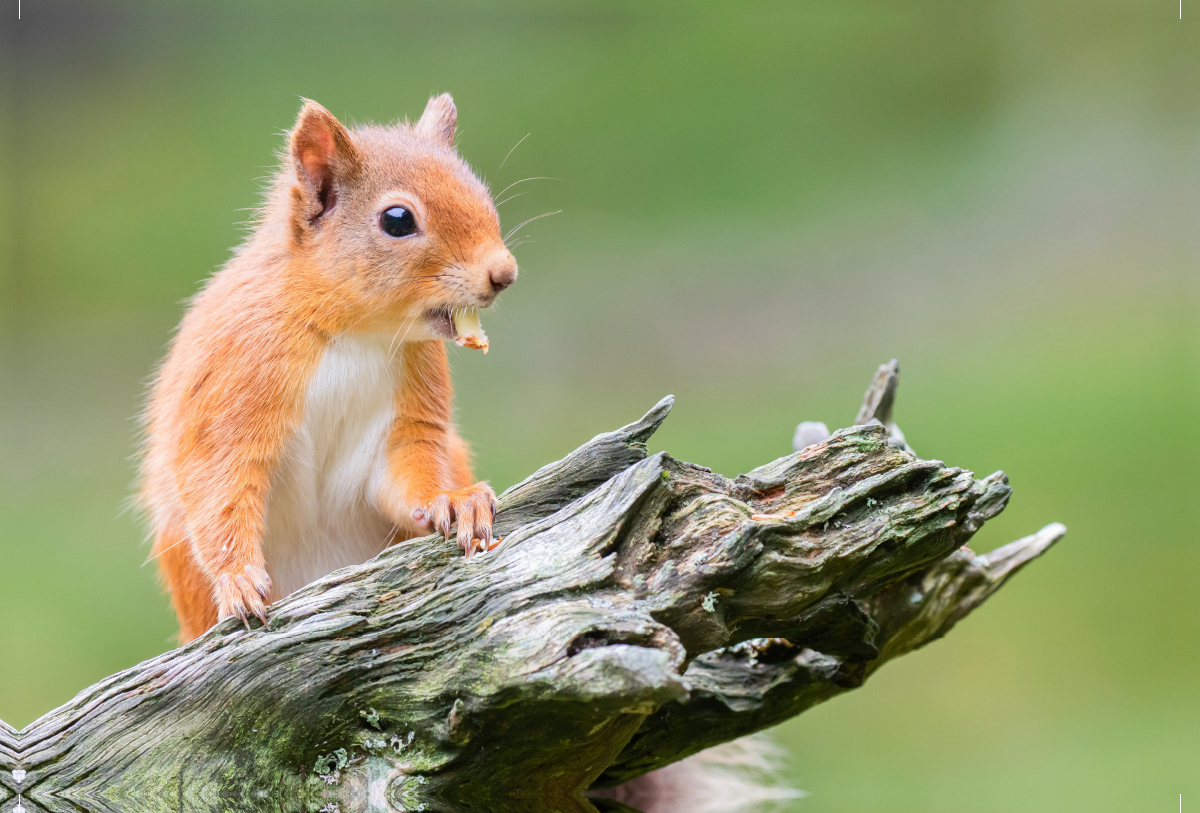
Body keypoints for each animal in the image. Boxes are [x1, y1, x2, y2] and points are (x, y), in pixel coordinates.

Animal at [140, 95, 516, 642]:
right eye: (397, 220)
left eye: (480, 192)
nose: (504, 274)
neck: (353, 334)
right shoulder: (235, 381)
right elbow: (220, 487)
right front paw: (237, 579)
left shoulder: (408, 409)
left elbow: (409, 468)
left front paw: (455, 500)